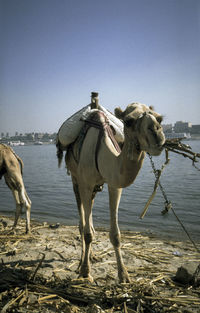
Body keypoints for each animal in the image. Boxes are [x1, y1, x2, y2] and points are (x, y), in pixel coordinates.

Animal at [57, 102, 165, 282]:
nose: (157, 134)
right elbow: (87, 232)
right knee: (82, 222)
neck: (101, 153)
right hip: (75, 179)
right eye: (128, 121)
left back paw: (92, 255)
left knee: (89, 216)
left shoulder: (115, 185)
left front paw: (124, 276)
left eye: (159, 118)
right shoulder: (85, 183)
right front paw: (85, 272)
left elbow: (115, 235)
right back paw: (81, 261)